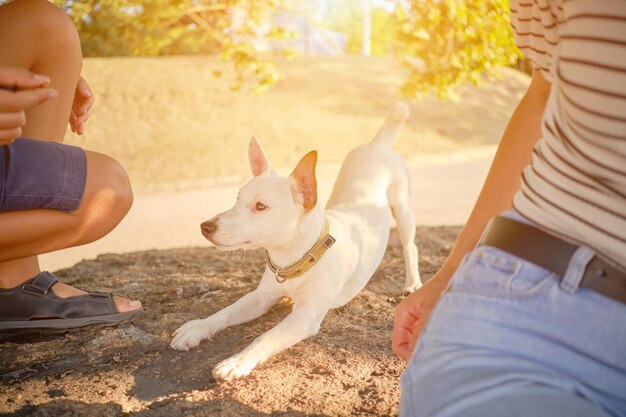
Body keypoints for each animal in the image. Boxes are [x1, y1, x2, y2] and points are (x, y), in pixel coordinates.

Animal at [171, 102, 420, 378]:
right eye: (237, 198)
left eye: (260, 206)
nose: (206, 227)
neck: (298, 258)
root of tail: (378, 144)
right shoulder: (261, 297)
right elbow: (226, 312)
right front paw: (198, 328)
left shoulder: (305, 316)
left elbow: (265, 337)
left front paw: (237, 361)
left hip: (403, 209)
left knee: (410, 247)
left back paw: (412, 283)